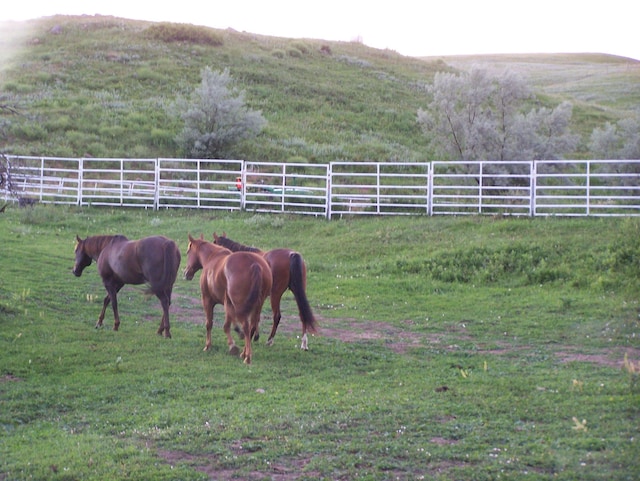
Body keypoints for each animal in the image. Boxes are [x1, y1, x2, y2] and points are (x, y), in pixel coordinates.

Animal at [184, 233, 272, 364]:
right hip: (257, 305)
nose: (186, 273)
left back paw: (247, 357)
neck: (212, 257)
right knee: (252, 326)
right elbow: (228, 323)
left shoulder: (207, 300)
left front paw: (209, 345)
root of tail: (255, 264)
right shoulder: (228, 302)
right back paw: (244, 352)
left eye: (188, 252)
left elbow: (210, 323)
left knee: (246, 327)